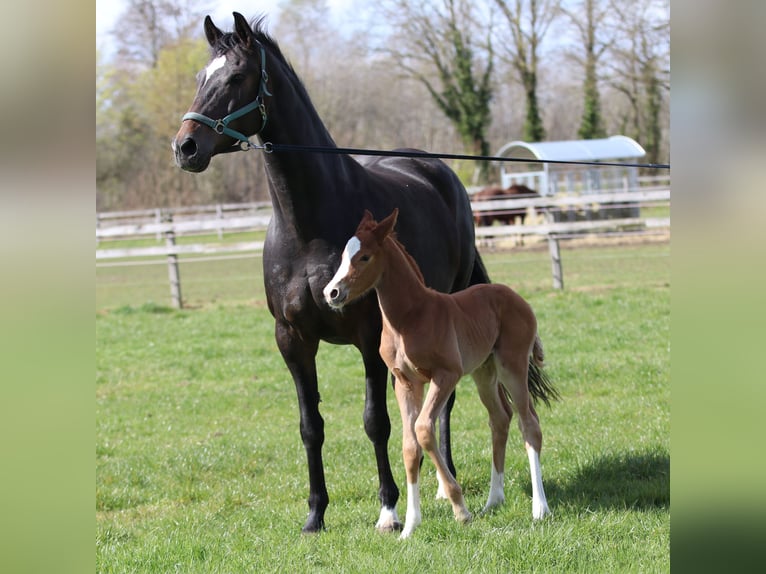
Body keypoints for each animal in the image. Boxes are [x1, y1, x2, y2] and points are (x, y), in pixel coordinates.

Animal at [172, 13, 490, 533]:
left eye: (237, 77)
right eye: (202, 78)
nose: (185, 146)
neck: (307, 227)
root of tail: (438, 171)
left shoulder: (368, 336)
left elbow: (375, 421)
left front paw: (388, 510)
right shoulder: (292, 340)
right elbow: (311, 427)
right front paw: (315, 513)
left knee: (446, 399)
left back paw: (447, 484)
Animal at [324, 209, 559, 538]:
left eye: (365, 257)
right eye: (344, 255)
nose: (331, 292)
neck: (409, 317)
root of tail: (516, 297)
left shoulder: (446, 375)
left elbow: (424, 429)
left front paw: (459, 508)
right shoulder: (406, 382)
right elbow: (410, 446)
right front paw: (409, 527)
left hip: (512, 365)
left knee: (529, 424)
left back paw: (539, 508)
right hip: (484, 372)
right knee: (500, 418)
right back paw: (493, 501)